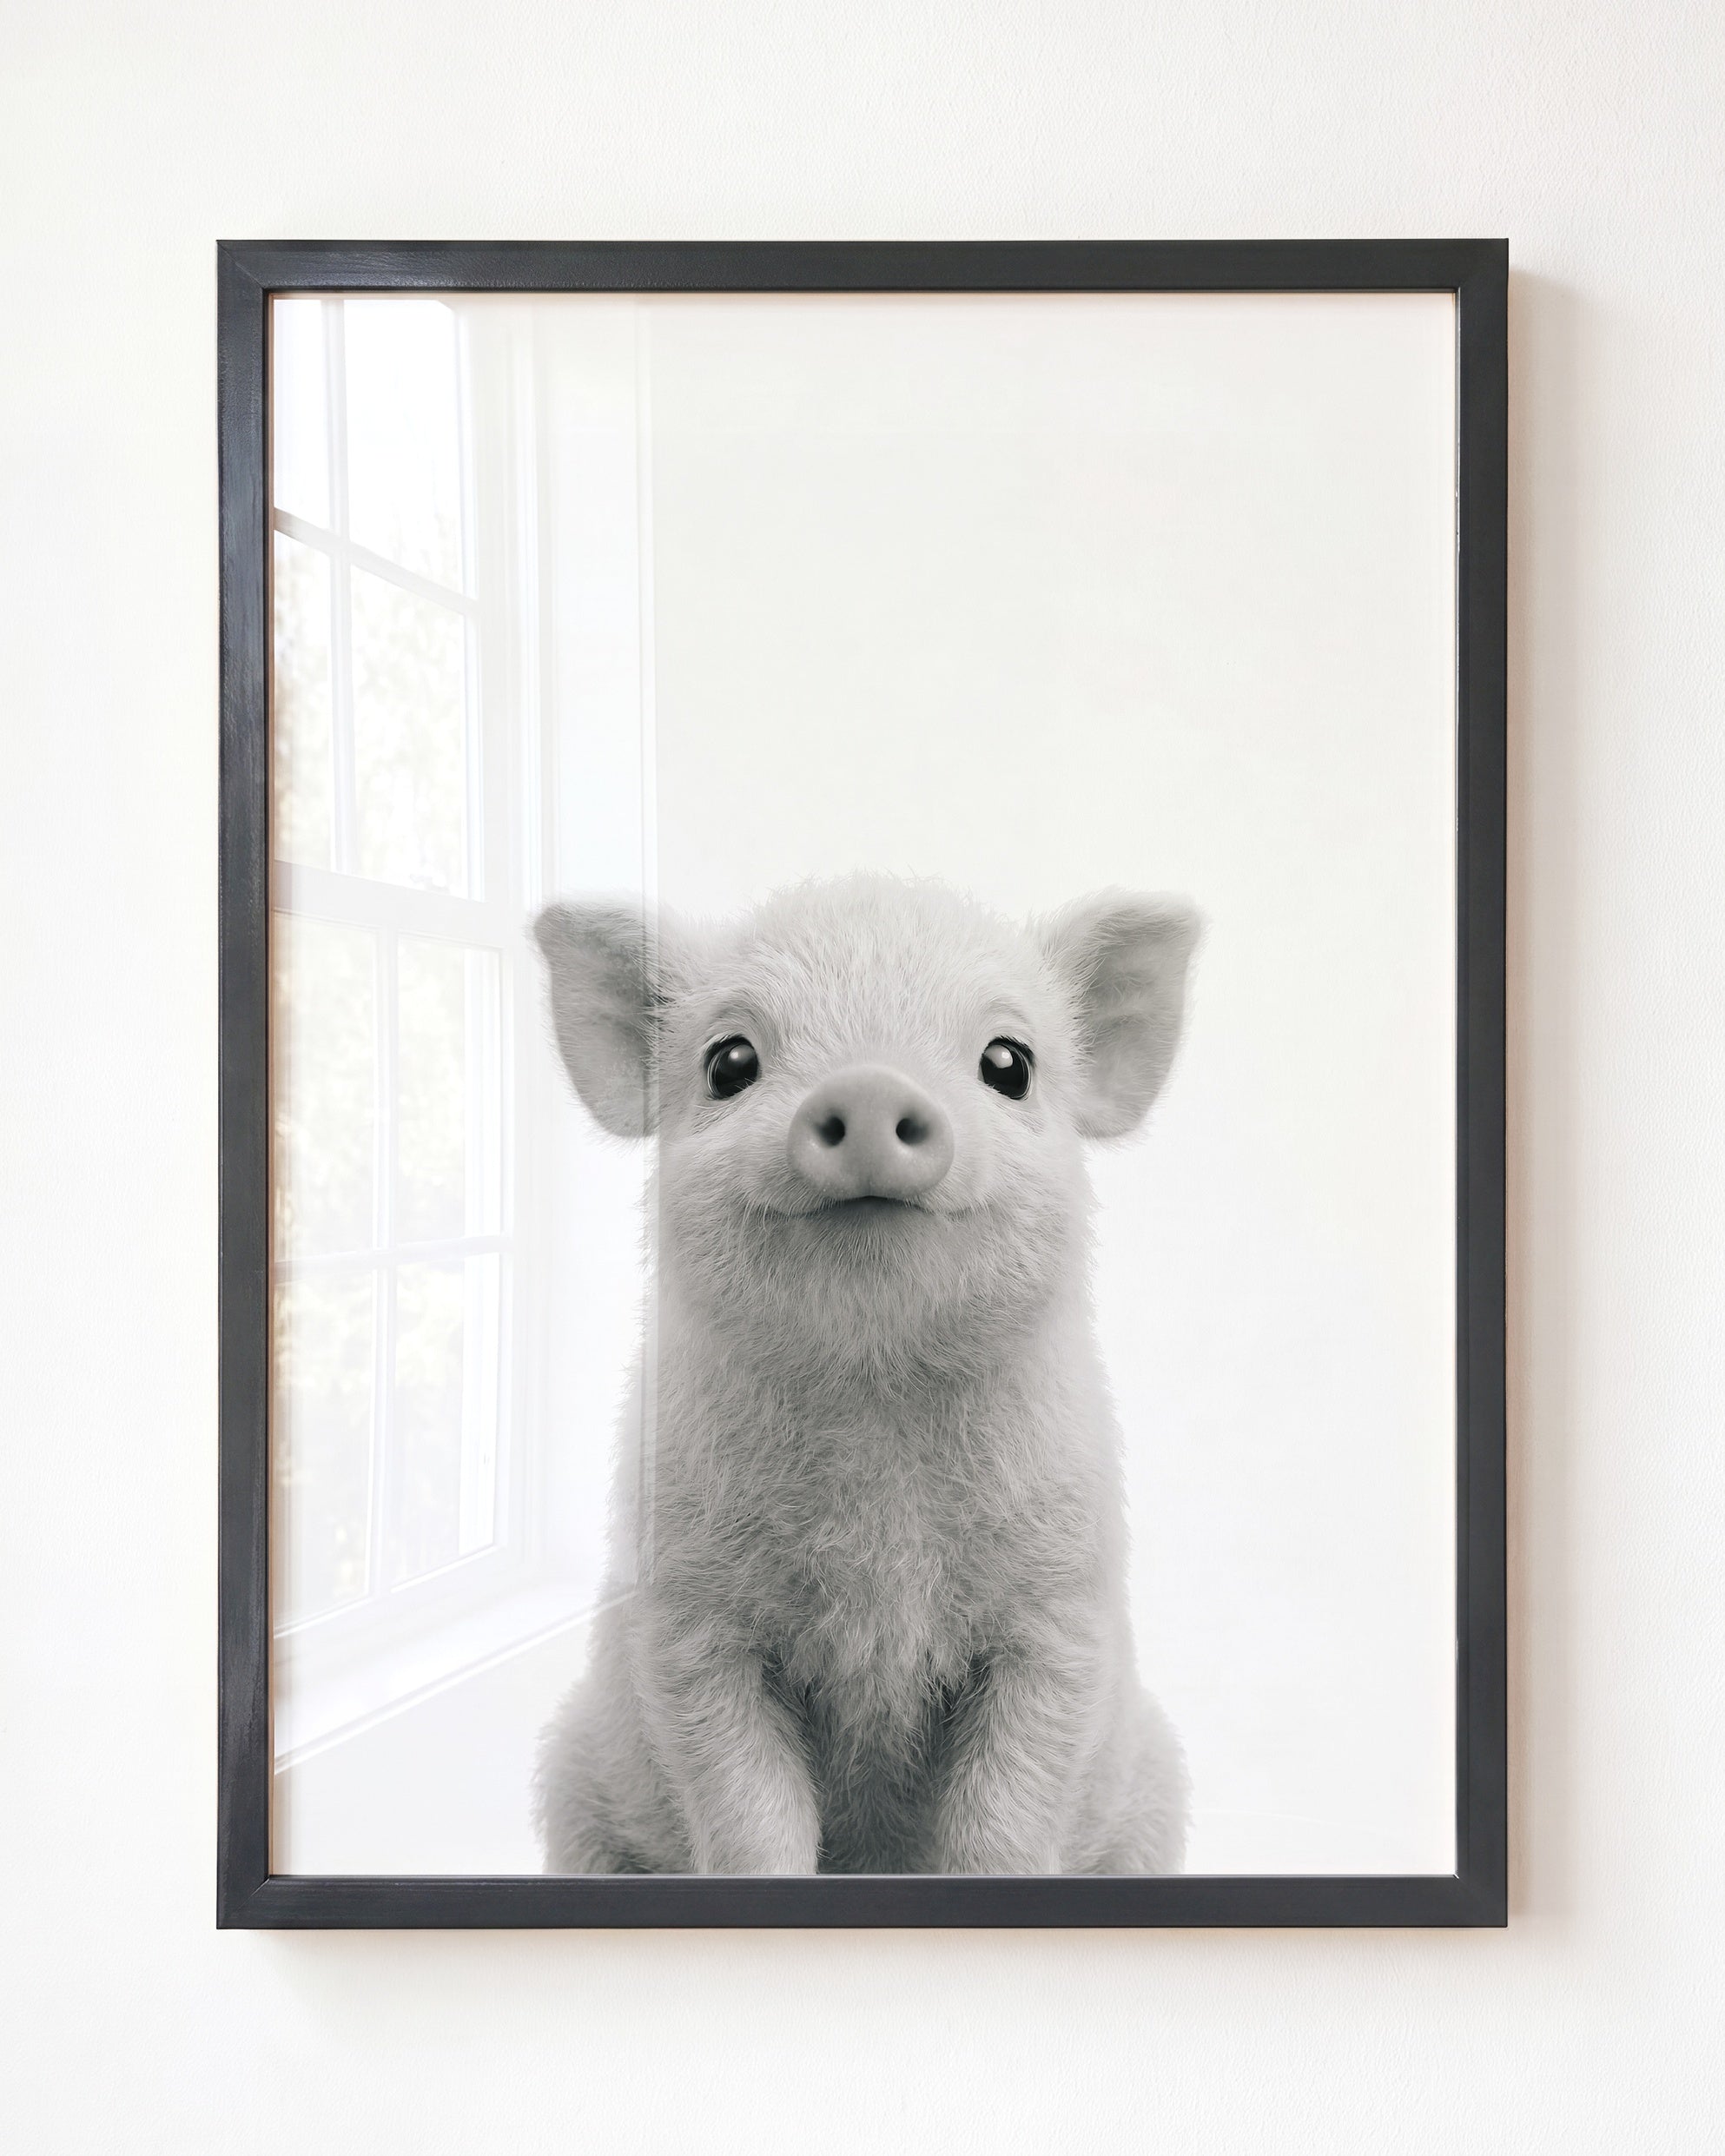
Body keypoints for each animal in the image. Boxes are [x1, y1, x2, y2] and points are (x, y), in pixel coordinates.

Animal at [530, 873, 1198, 1875]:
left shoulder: (1059, 1610)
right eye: (729, 1062)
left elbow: (1004, 1821)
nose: (871, 1083)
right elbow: (751, 1816)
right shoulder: (688, 1620)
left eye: (1010, 1063)